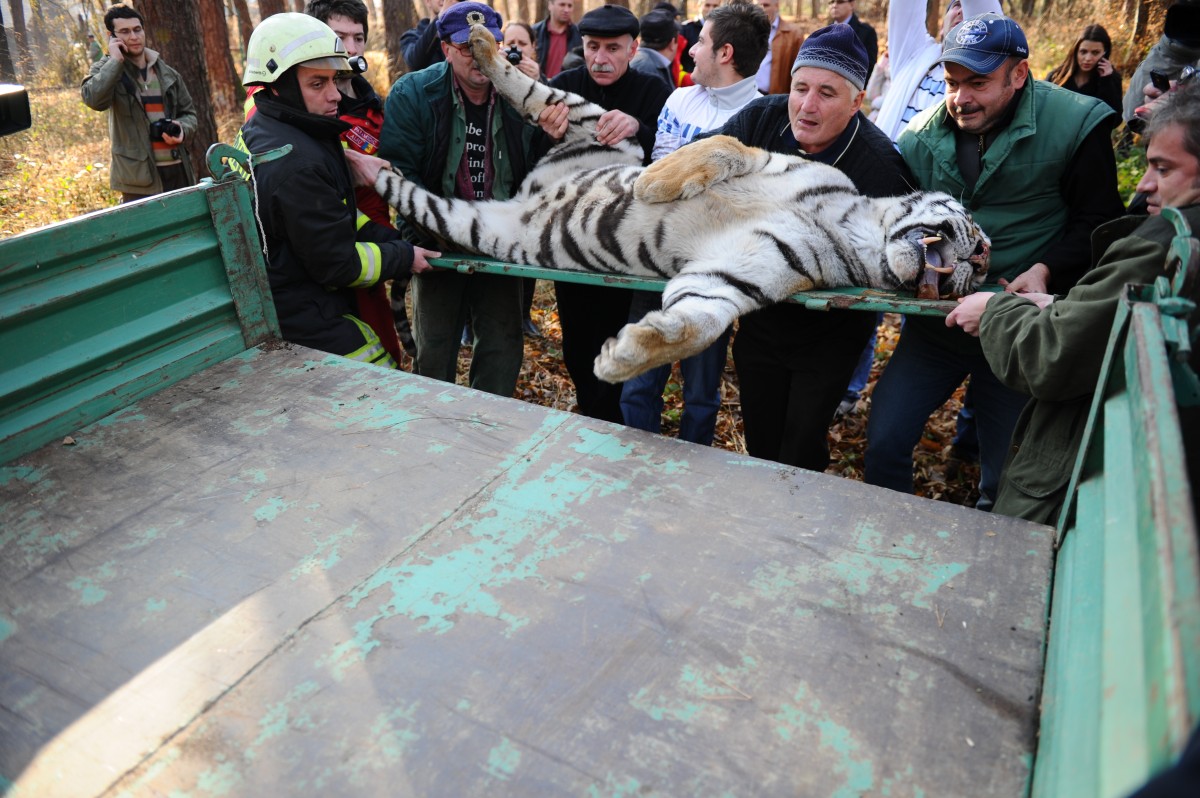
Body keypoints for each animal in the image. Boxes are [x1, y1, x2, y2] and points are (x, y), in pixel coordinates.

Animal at [369, 18, 988, 379]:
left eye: (981, 267)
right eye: (975, 234)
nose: (976, 266)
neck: (858, 232)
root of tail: (528, 192)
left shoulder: (734, 276)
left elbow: (699, 323)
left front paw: (623, 356)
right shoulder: (765, 157)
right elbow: (721, 145)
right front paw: (652, 185)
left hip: (475, 223)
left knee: (411, 191)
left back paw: (367, 163)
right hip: (590, 116)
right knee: (522, 86)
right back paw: (476, 45)